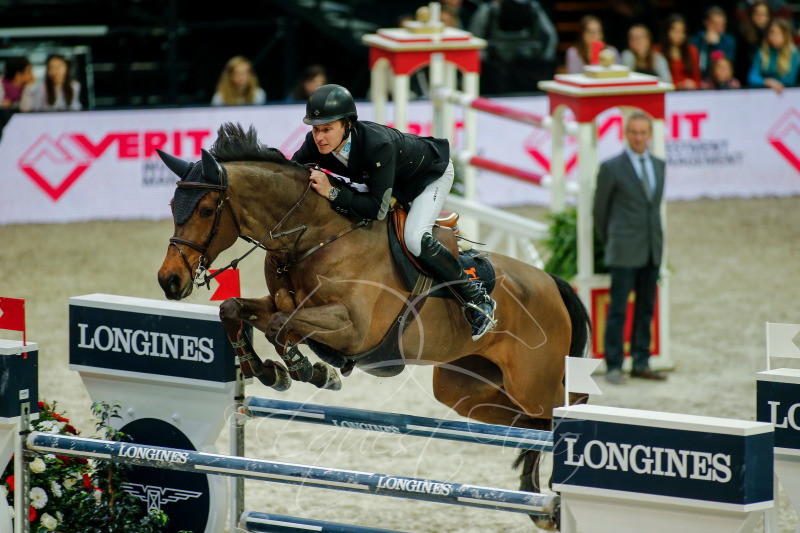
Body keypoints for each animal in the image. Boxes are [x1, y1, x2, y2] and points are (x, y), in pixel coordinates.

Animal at [156, 123, 591, 530]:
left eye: (206, 211)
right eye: (173, 205)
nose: (169, 281)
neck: (311, 236)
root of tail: (552, 283)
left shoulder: (353, 329)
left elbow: (282, 326)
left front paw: (309, 370)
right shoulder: (278, 304)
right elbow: (236, 310)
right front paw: (267, 371)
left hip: (532, 383)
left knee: (564, 408)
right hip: (467, 391)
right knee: (529, 426)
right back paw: (535, 496)